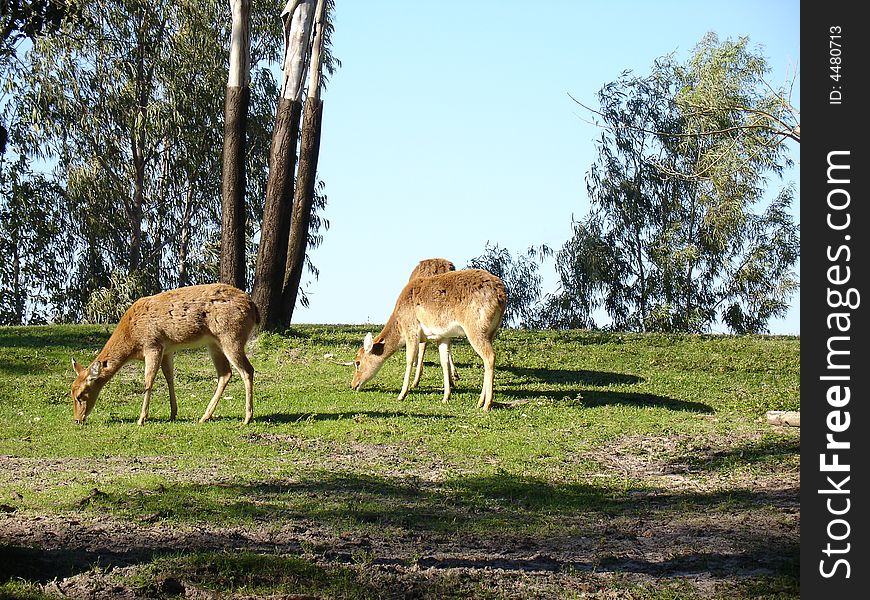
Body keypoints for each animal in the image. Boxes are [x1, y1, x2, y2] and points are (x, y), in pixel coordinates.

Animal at [70, 282, 260, 426]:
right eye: (70, 391)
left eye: (81, 395)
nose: (77, 419)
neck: (132, 341)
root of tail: (254, 309)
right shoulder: (167, 350)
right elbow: (169, 377)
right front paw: (173, 413)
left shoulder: (153, 345)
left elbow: (148, 381)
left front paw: (141, 419)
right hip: (214, 343)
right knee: (225, 373)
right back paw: (205, 417)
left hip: (231, 337)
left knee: (247, 370)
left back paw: (247, 418)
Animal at [350, 270, 508, 410]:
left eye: (358, 362)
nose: (353, 384)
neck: (399, 323)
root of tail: (501, 295)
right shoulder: (443, 336)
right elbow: (444, 362)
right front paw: (446, 397)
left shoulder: (411, 329)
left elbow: (409, 359)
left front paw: (401, 395)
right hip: (491, 332)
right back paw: (480, 402)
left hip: (475, 329)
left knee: (490, 356)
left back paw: (486, 405)